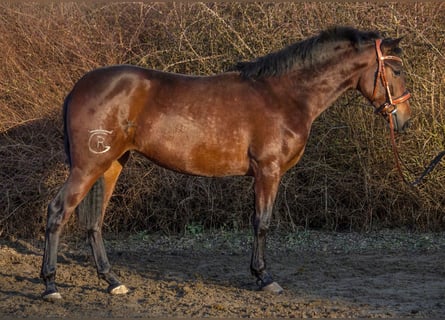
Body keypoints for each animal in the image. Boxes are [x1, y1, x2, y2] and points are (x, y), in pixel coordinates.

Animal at [40, 26, 410, 300]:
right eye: (396, 70)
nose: (404, 119)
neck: (284, 95)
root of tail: (78, 88)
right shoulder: (268, 171)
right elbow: (262, 223)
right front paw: (264, 278)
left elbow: (256, 221)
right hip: (88, 166)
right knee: (58, 211)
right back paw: (50, 285)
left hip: (112, 164)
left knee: (94, 221)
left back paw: (112, 280)